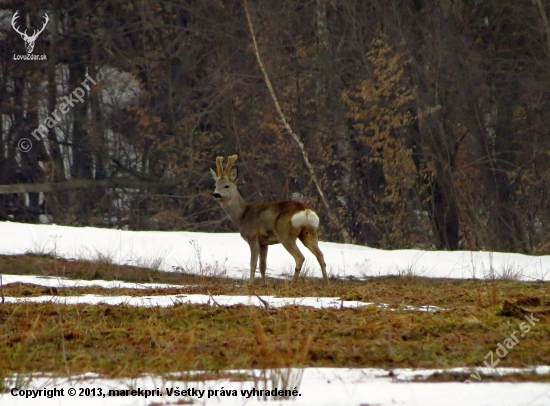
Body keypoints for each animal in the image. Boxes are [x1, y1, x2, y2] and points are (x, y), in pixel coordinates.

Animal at [211, 155, 328, 286]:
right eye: (215, 185)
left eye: (226, 185)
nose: (216, 194)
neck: (242, 216)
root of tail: (306, 211)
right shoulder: (264, 242)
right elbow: (263, 265)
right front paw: (264, 284)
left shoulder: (253, 237)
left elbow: (253, 263)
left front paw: (250, 284)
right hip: (310, 233)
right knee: (320, 255)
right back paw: (326, 283)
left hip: (285, 234)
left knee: (300, 257)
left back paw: (292, 284)